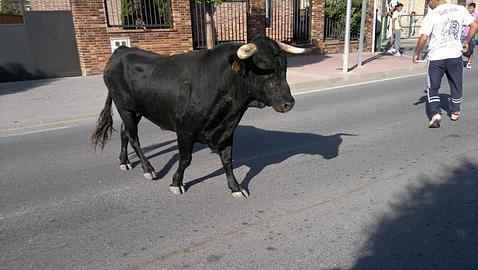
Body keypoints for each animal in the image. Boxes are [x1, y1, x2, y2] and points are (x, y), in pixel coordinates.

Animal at [90, 35, 306, 198]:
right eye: (264, 67)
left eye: (284, 67)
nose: (288, 103)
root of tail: (120, 51)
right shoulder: (185, 130)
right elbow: (185, 159)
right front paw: (176, 183)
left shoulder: (227, 130)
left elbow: (227, 160)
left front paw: (236, 188)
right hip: (124, 107)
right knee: (133, 137)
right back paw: (148, 169)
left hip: (136, 110)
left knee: (124, 132)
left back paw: (124, 161)